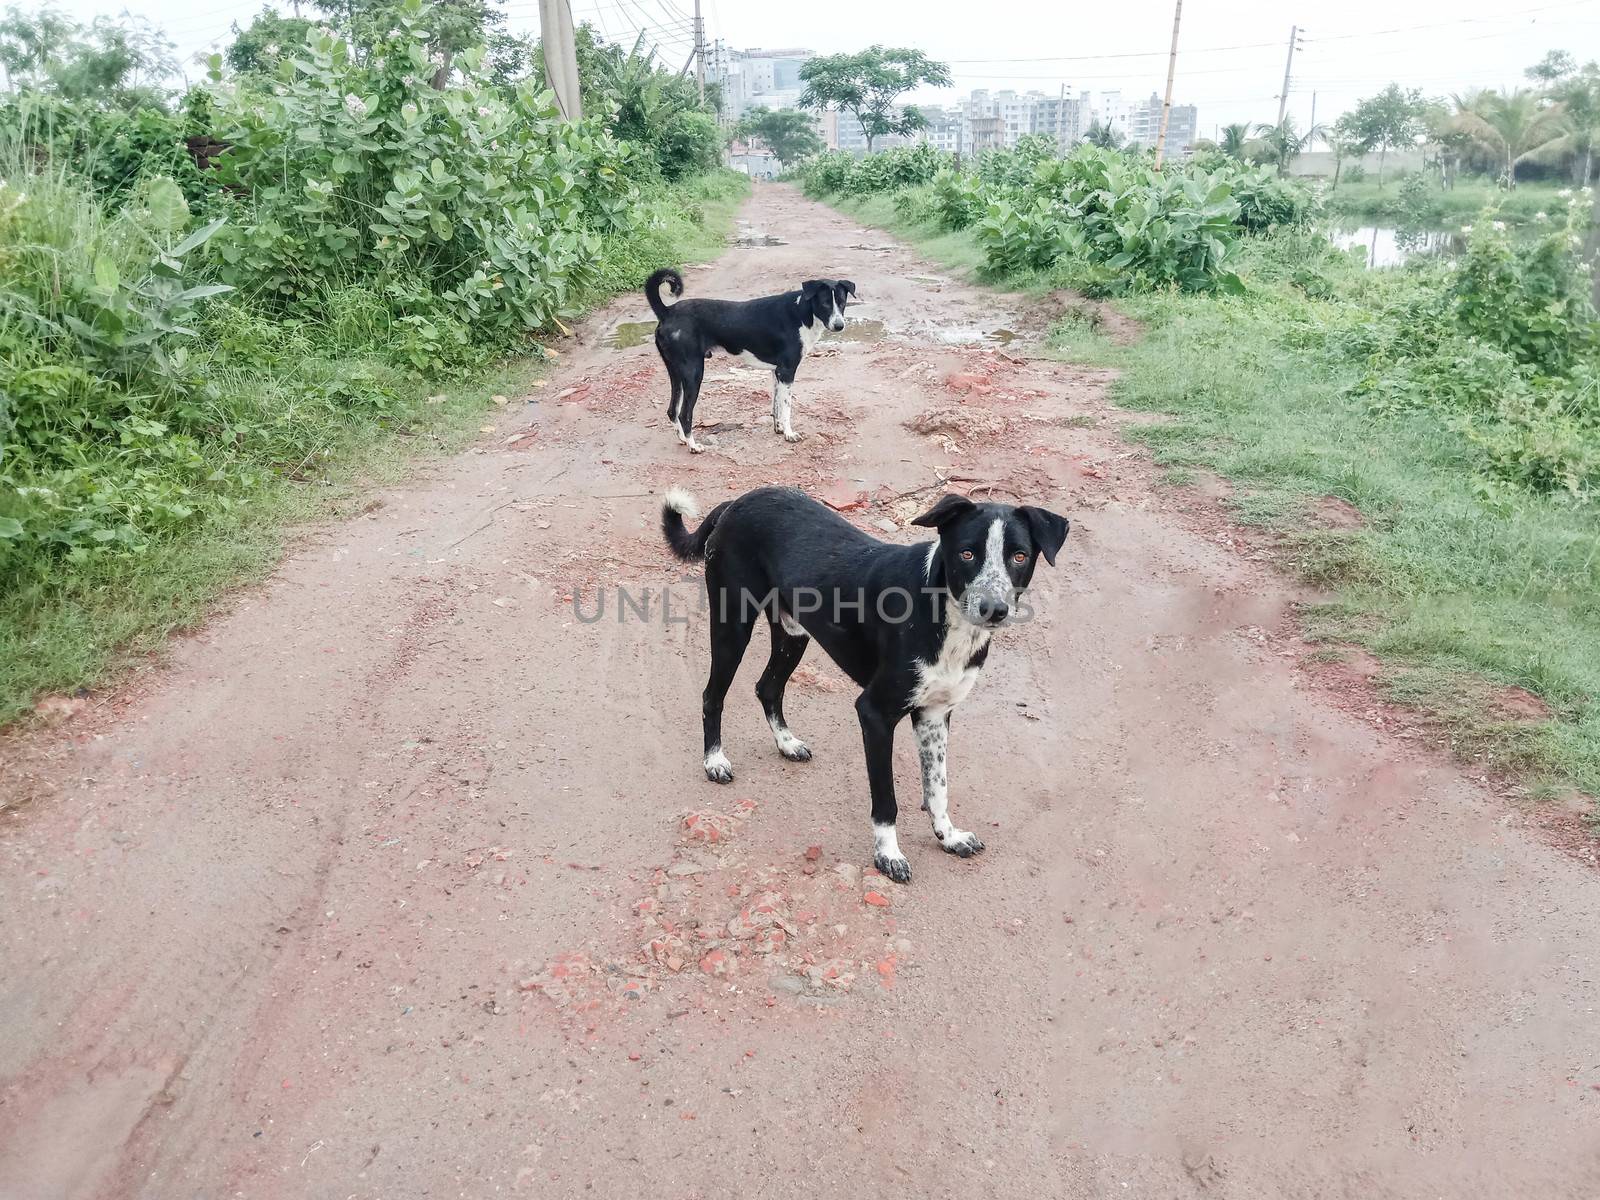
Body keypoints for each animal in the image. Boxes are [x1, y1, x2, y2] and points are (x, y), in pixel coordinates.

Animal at [643, 270, 857, 454]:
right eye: (825, 303)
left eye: (842, 302)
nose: (839, 325)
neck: (802, 313)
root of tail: (667, 312)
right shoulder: (787, 371)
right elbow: (786, 407)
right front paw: (789, 434)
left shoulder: (777, 372)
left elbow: (776, 405)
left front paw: (779, 428)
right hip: (693, 373)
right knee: (683, 413)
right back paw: (693, 446)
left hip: (676, 372)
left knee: (672, 410)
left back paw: (682, 439)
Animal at [662, 483, 1075, 889]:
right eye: (967, 553)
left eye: (1019, 556)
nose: (994, 609)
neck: (944, 613)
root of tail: (738, 500)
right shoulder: (875, 714)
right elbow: (886, 800)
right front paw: (888, 855)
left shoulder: (935, 715)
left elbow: (938, 787)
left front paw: (949, 836)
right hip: (733, 625)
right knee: (713, 695)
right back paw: (714, 760)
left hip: (793, 633)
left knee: (768, 687)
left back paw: (786, 743)